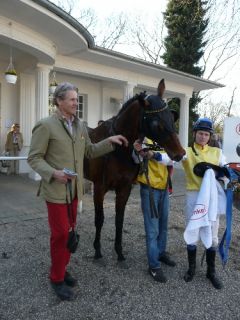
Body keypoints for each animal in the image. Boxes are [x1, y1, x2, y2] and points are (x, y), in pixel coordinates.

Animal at [83, 79, 185, 262]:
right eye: (156, 123)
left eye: (171, 117)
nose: (179, 153)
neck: (117, 148)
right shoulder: (99, 187)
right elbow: (99, 219)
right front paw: (97, 249)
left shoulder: (125, 188)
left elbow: (119, 219)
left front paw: (119, 251)